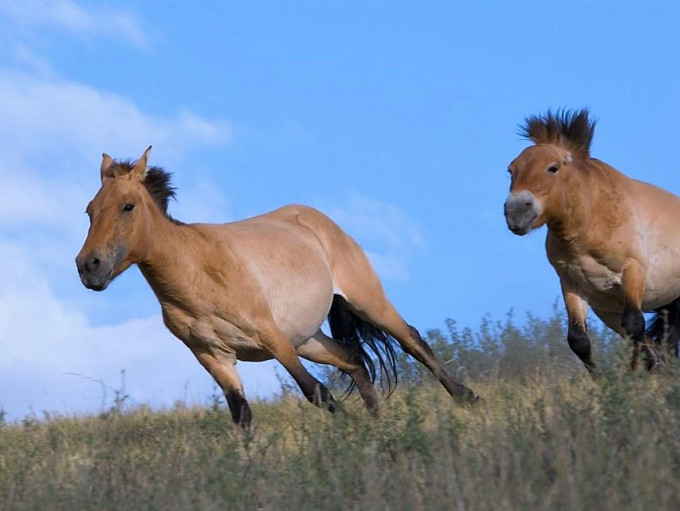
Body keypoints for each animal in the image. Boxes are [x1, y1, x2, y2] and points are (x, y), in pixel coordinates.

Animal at [75, 146, 478, 426]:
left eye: (128, 206)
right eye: (90, 210)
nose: (88, 267)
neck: (198, 274)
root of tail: (318, 220)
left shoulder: (271, 336)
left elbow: (316, 391)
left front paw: (351, 434)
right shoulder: (214, 357)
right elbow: (242, 415)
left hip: (364, 302)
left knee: (412, 340)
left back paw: (466, 398)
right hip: (308, 339)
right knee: (353, 359)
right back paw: (380, 421)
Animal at [504, 109, 680, 372]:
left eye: (552, 168)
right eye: (511, 170)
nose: (515, 212)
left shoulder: (633, 271)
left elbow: (634, 325)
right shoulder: (572, 284)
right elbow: (579, 340)